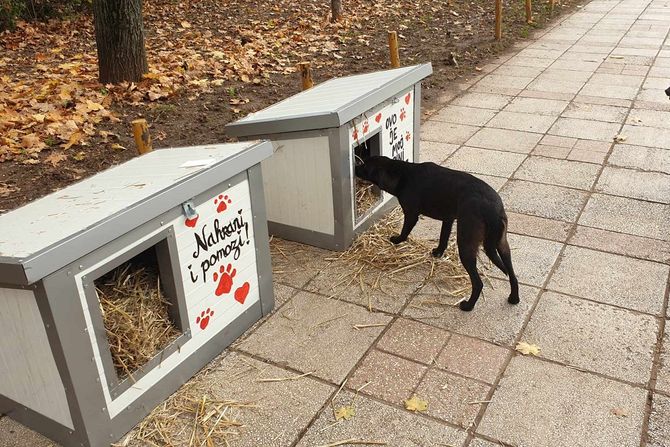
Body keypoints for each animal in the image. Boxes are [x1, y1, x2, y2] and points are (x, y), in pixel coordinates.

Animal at [356, 157, 520, 312]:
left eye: (365, 165)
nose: (355, 167)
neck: (403, 174)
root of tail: (492, 211)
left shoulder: (411, 215)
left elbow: (404, 232)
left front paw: (396, 240)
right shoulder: (448, 219)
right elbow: (443, 238)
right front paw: (438, 252)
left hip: (466, 245)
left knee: (478, 283)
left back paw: (468, 306)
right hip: (502, 245)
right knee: (512, 275)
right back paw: (514, 298)